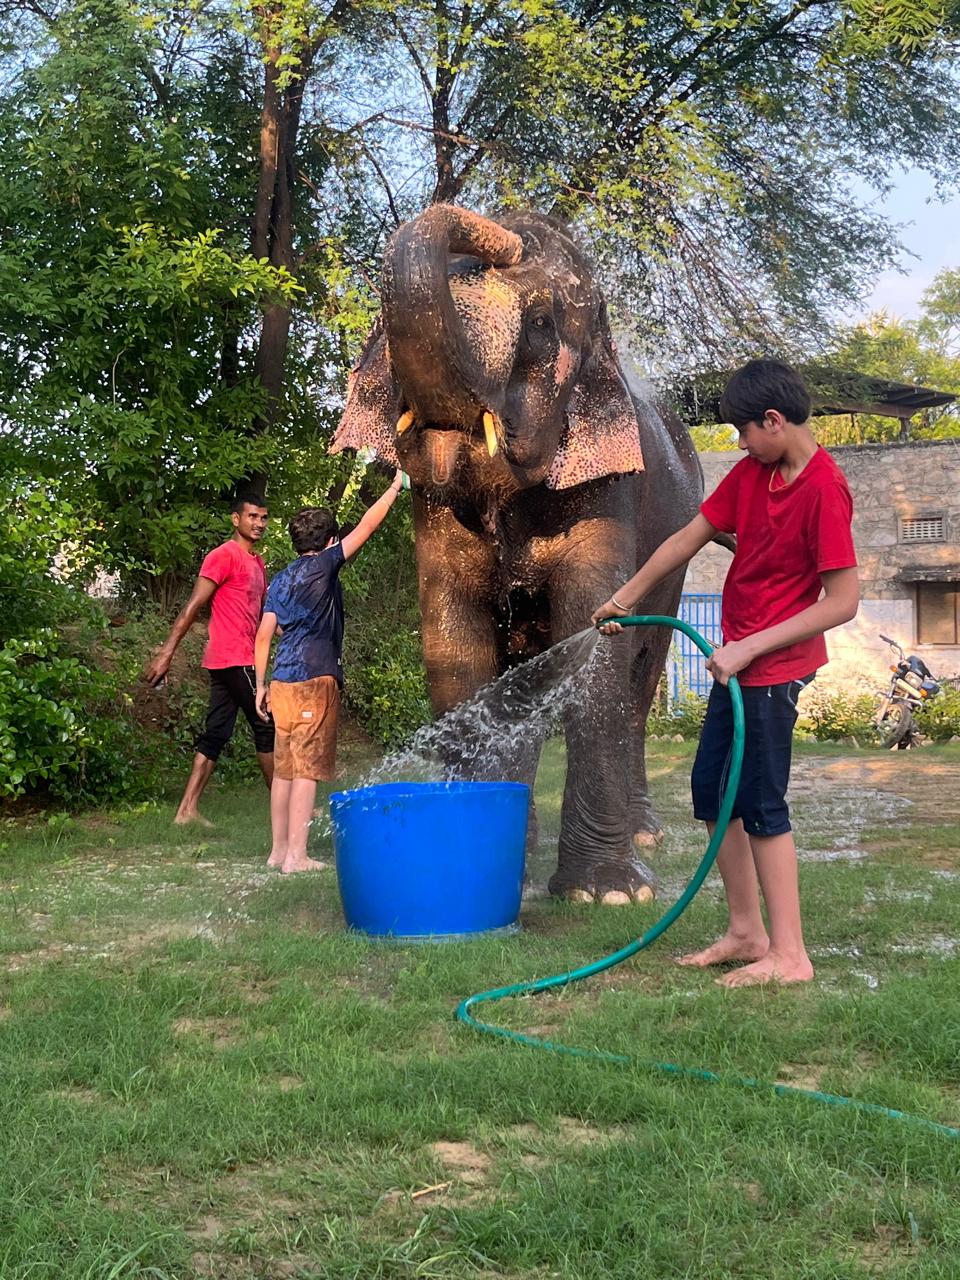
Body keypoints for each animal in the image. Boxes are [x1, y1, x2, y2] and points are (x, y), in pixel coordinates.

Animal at [331, 203, 704, 903]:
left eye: (540, 324)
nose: (502, 229)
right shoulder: (439, 511)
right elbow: (454, 646)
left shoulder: (612, 489)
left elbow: (596, 636)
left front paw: (608, 893)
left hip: (676, 555)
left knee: (640, 679)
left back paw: (645, 838)